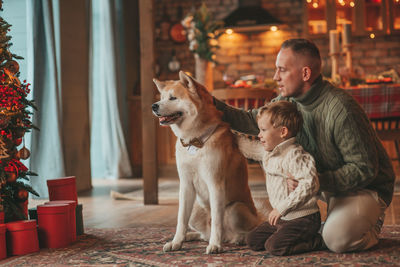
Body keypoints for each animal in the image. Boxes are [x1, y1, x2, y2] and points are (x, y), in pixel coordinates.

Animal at [152, 70, 260, 254]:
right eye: (162, 97)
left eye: (173, 98)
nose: (154, 106)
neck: (195, 141)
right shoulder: (186, 185)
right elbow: (181, 219)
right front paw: (176, 242)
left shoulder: (215, 184)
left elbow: (217, 220)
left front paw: (215, 245)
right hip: (196, 209)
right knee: (202, 234)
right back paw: (192, 237)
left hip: (235, 209)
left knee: (244, 230)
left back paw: (236, 239)